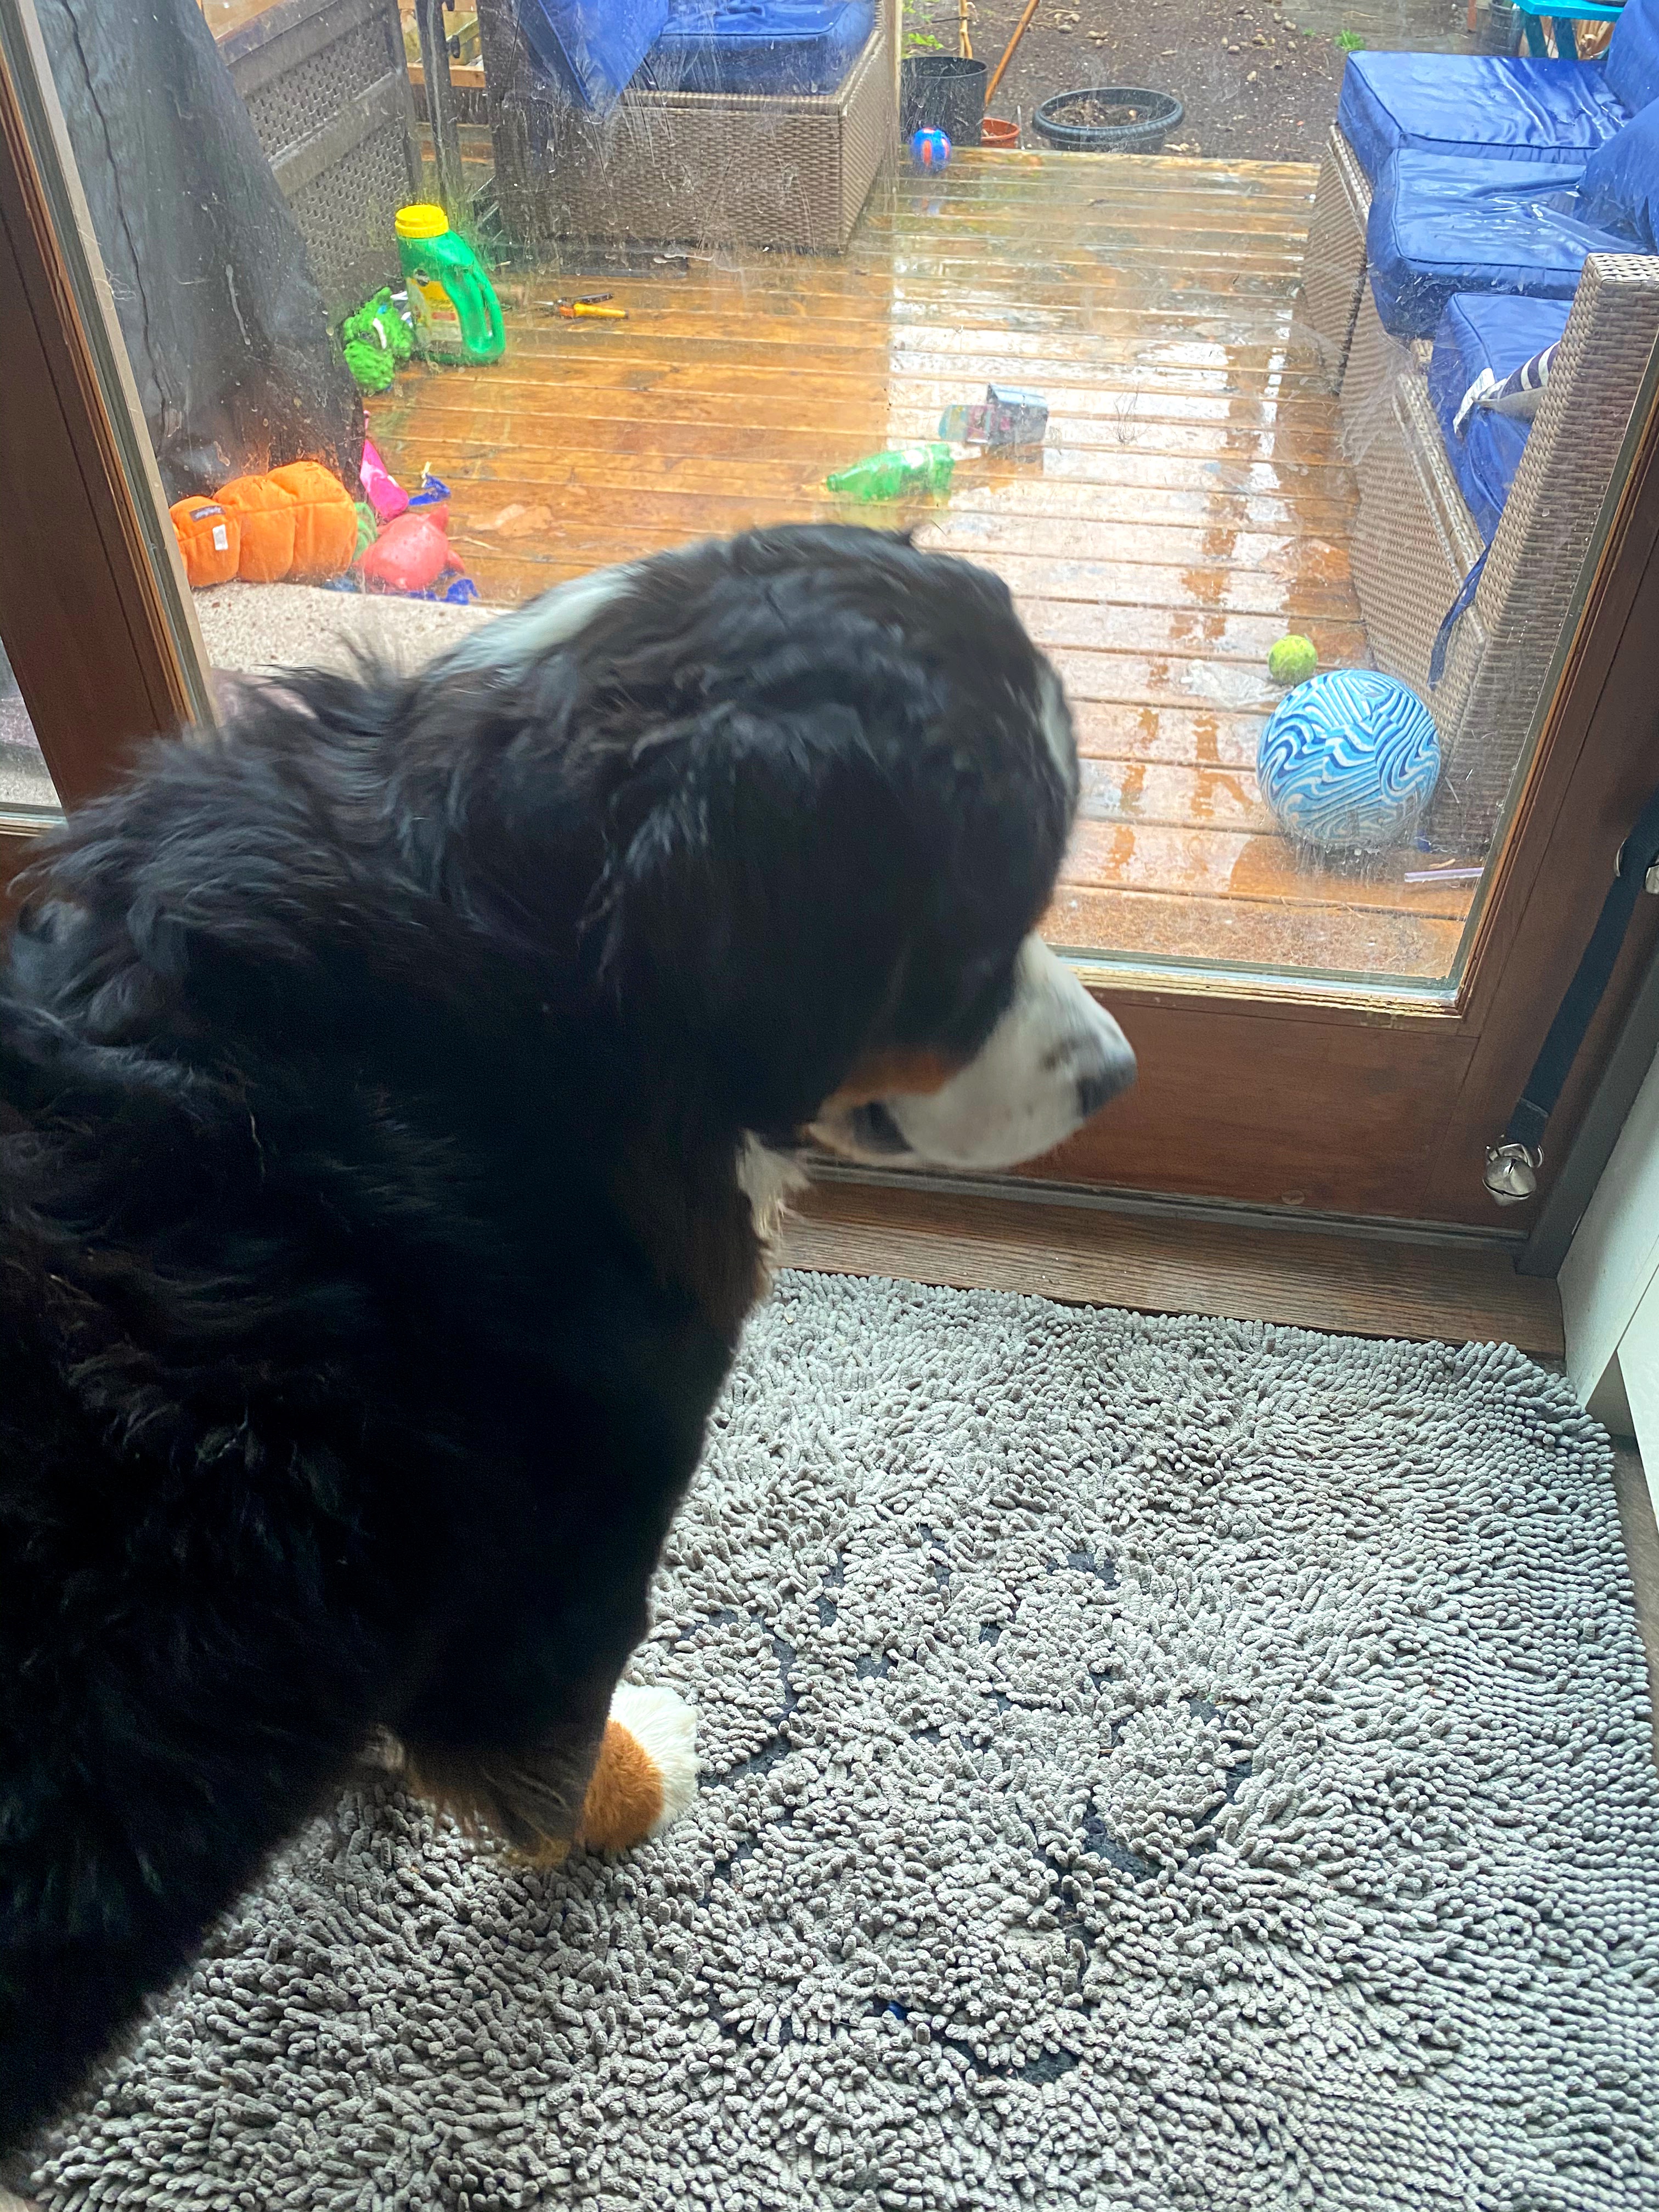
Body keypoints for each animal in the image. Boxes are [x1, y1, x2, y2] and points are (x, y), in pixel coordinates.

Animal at [0, 522, 1141, 2159]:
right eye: (976, 943)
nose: (1118, 1073)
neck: (522, 959)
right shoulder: (563, 1560)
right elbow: (555, 1746)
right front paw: (636, 1783)